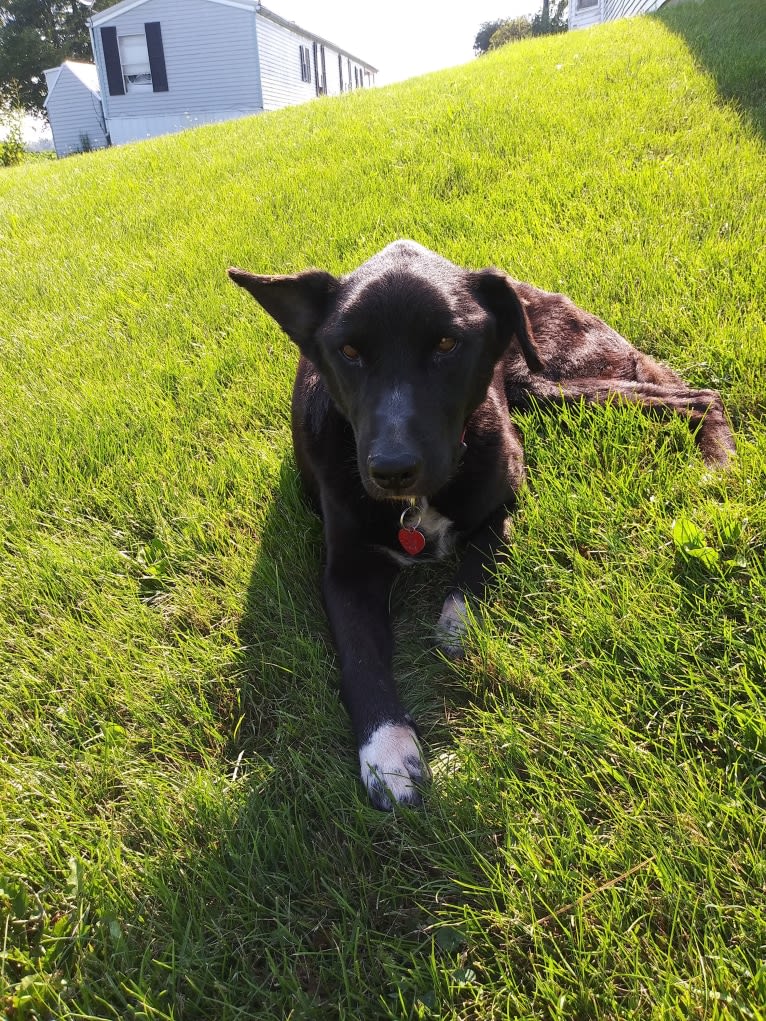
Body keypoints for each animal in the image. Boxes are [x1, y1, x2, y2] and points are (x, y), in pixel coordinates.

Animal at [229, 242, 739, 808]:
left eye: (447, 343)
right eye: (350, 352)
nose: (391, 469)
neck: (416, 504)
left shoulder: (507, 503)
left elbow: (474, 570)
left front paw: (457, 629)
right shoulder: (345, 572)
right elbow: (361, 659)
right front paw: (387, 753)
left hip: (545, 381)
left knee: (701, 397)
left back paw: (719, 468)